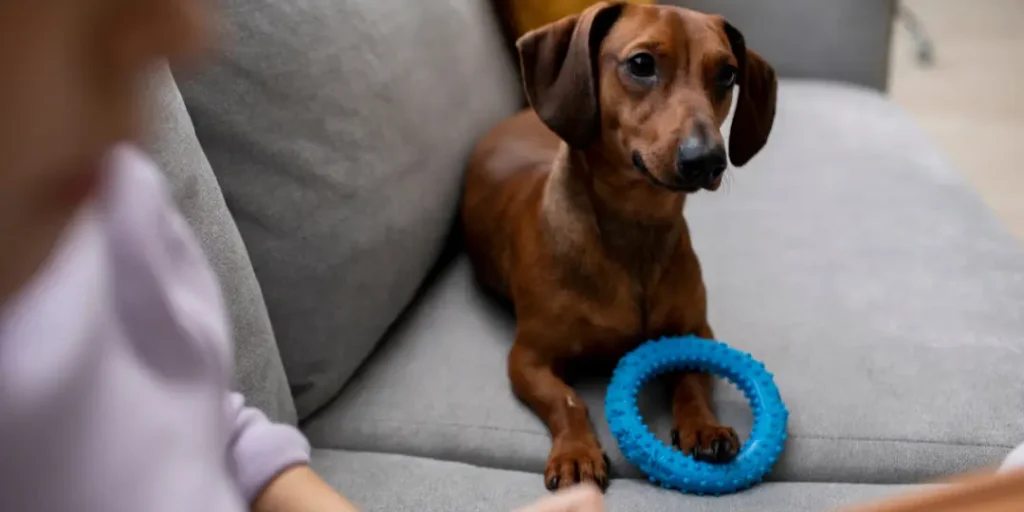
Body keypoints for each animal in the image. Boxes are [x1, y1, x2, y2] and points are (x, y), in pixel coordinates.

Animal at [460, 1, 770, 491]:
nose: (708, 159)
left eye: (727, 74)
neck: (635, 231)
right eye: (641, 64)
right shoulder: (527, 358)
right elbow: (568, 401)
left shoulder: (696, 332)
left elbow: (691, 381)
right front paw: (576, 453)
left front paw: (704, 426)